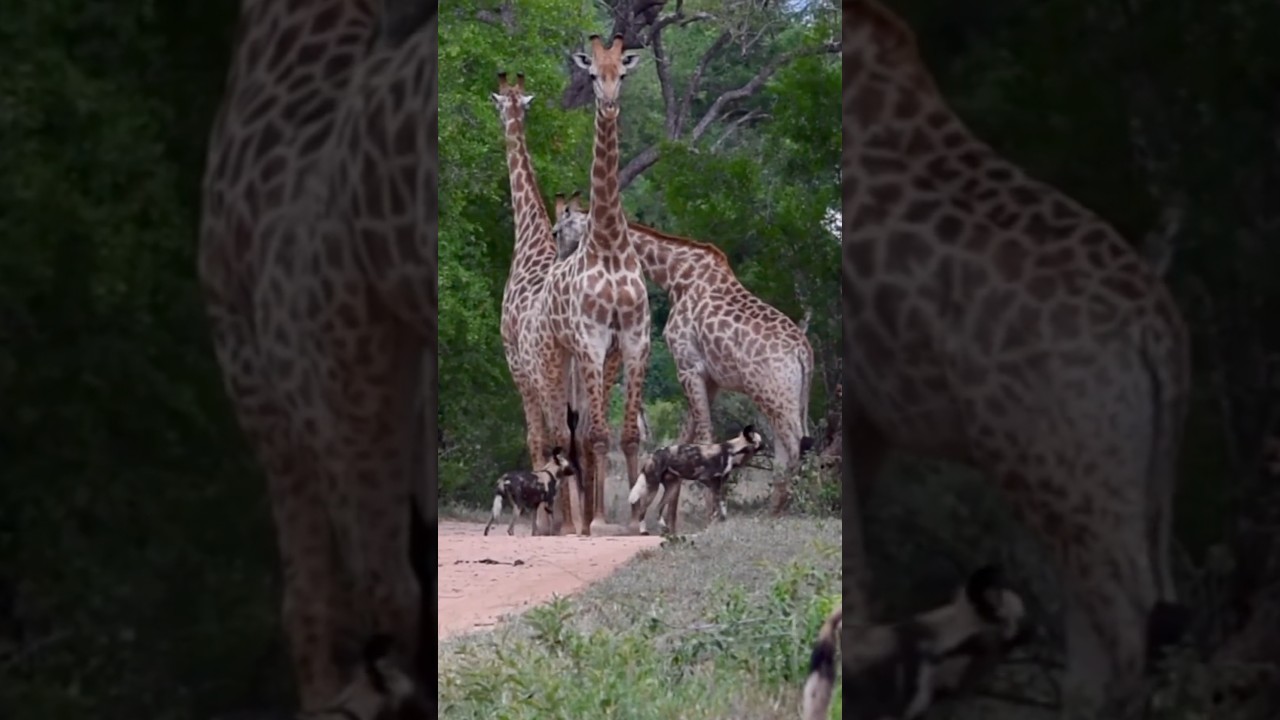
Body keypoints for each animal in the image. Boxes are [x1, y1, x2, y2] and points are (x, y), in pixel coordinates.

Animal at [520, 34, 648, 533]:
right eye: (592, 73)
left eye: (623, 72)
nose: (609, 105)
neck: (609, 242)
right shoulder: (592, 339)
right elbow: (595, 436)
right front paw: (594, 525)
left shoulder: (634, 338)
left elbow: (628, 436)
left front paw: (638, 518)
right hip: (556, 359)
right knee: (564, 434)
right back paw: (569, 522)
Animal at [550, 192, 815, 517]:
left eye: (557, 231)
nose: (559, 263)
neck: (675, 275)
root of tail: (805, 353)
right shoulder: (709, 378)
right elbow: (687, 436)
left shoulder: (688, 365)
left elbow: (703, 436)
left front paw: (709, 509)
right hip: (787, 397)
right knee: (792, 446)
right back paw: (782, 507)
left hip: (773, 393)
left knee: (794, 444)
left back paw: (784, 508)